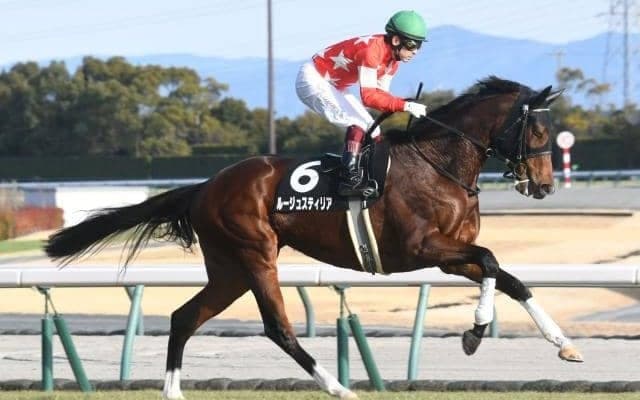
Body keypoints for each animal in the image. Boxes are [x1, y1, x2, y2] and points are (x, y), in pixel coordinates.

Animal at [45, 76, 582, 400]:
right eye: (536, 129)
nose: (544, 186)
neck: (440, 163)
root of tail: (205, 186)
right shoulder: (421, 249)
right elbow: (491, 262)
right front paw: (474, 332)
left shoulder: (449, 256)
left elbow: (508, 278)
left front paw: (564, 345)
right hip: (255, 255)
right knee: (277, 327)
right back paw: (339, 387)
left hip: (229, 269)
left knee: (184, 317)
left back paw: (173, 391)